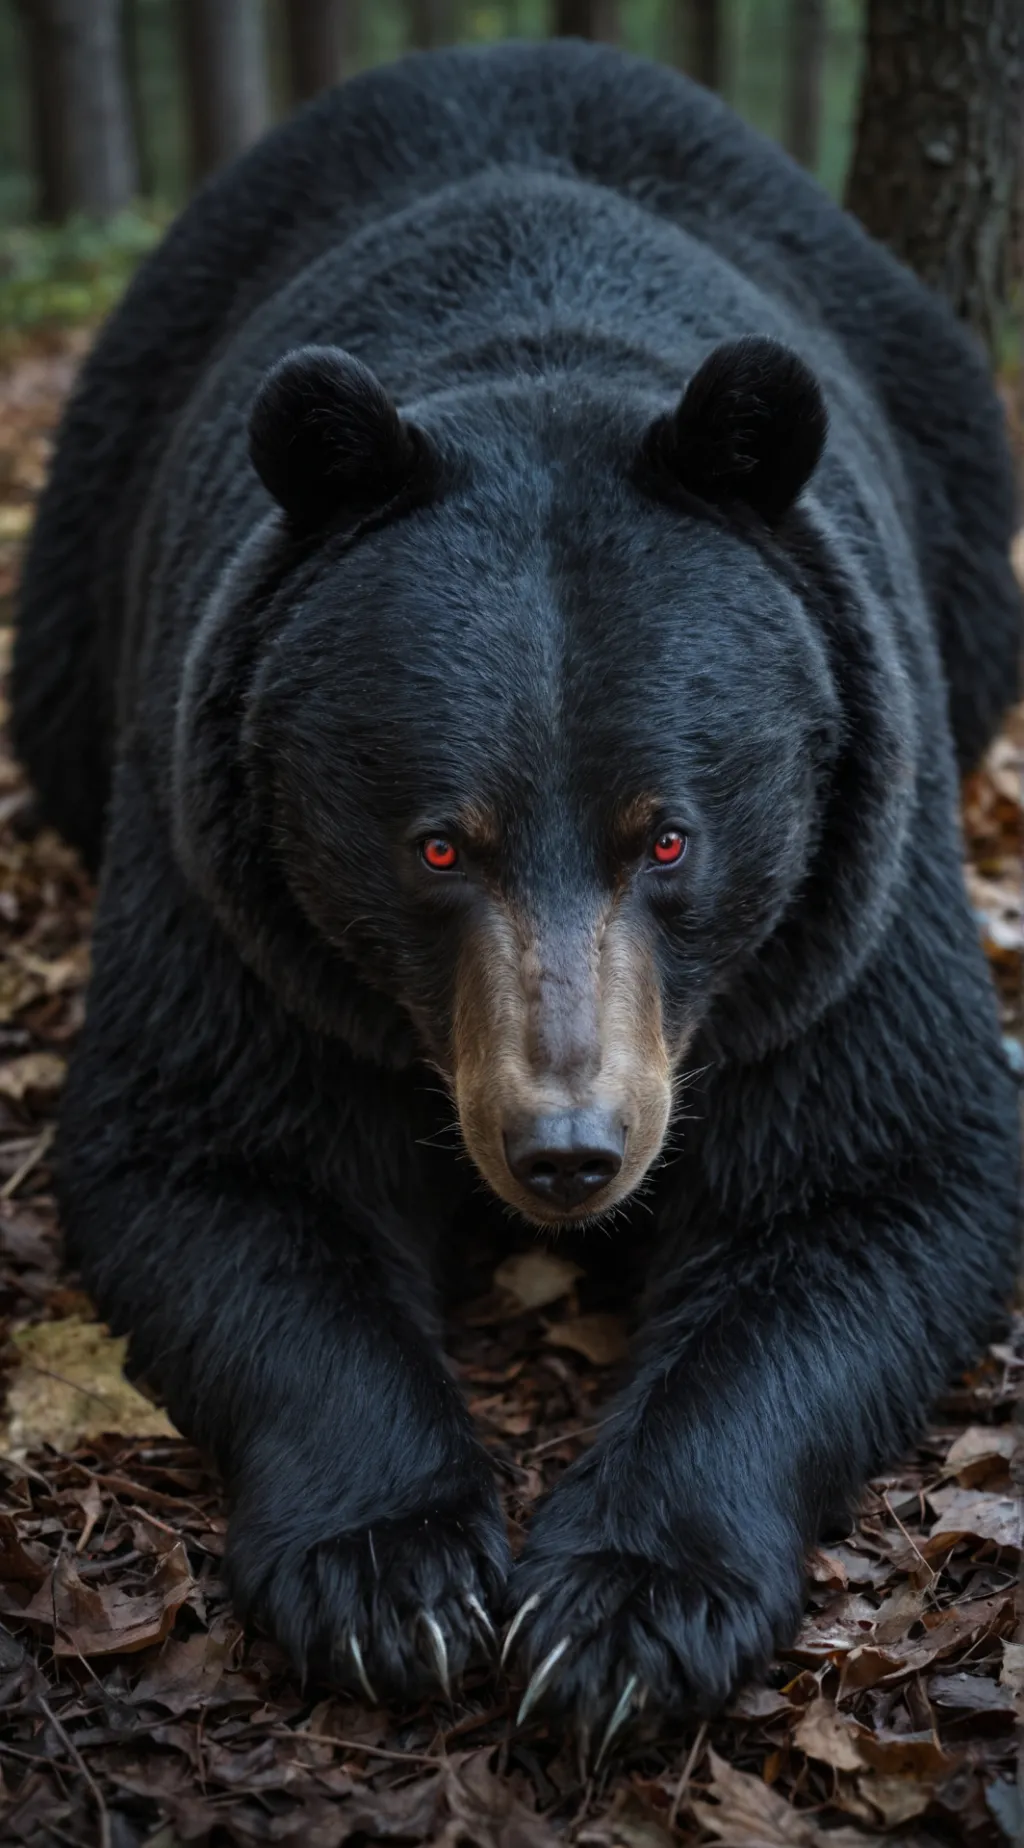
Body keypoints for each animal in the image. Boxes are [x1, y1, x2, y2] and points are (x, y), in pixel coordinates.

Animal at [12, 40, 1021, 1748]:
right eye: (438, 846)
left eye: (668, 839)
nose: (567, 1151)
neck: (537, 363)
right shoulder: (226, 893)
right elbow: (219, 1165)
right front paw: (394, 1581)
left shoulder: (852, 897)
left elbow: (875, 1179)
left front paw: (613, 1614)